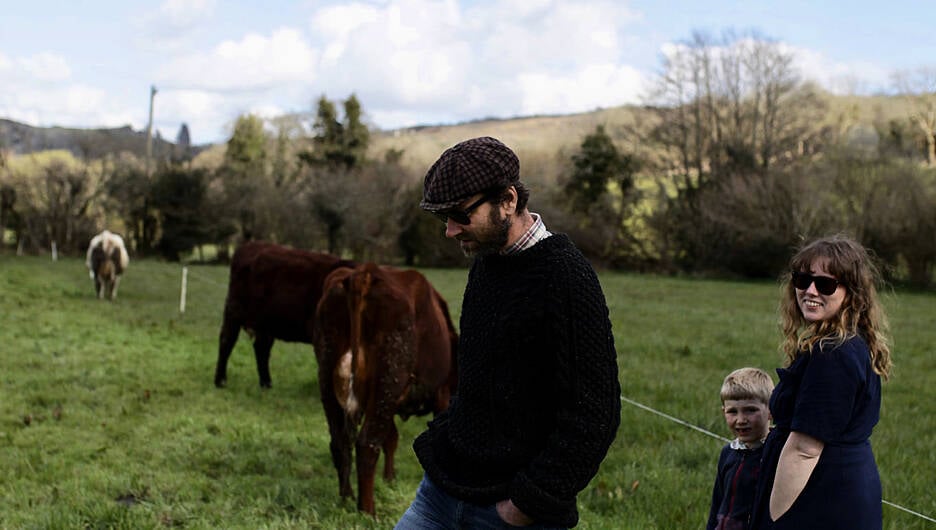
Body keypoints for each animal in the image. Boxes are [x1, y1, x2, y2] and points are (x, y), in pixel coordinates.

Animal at [215, 240, 354, 388]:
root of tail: (250, 246)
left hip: (266, 322)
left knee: (261, 348)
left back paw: (266, 384)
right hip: (234, 311)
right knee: (227, 340)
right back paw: (220, 381)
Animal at [314, 262, 458, 512]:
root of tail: (364, 272)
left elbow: (391, 438)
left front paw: (389, 478)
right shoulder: (441, 394)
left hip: (330, 373)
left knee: (339, 441)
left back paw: (346, 497)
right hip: (390, 376)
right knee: (367, 443)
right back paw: (367, 510)